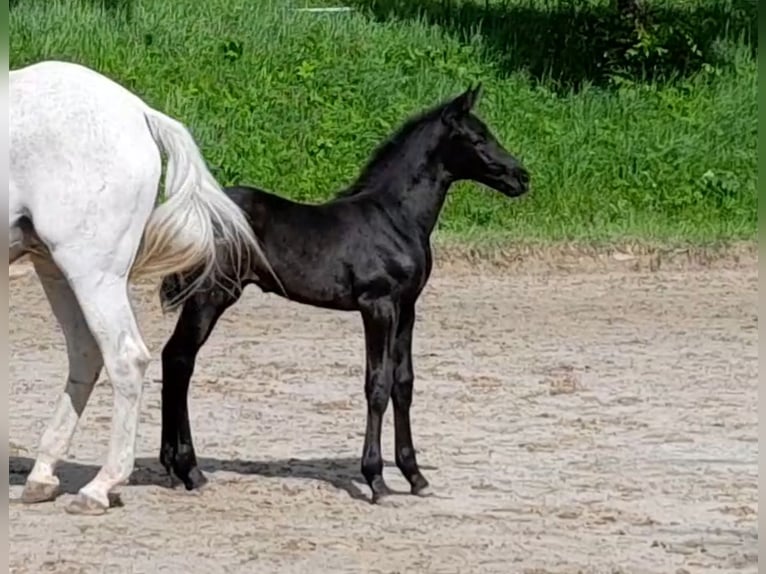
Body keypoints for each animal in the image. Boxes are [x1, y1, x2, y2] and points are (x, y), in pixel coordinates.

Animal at [9, 62, 280, 516]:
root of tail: (138, 112)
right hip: (54, 266)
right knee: (86, 353)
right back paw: (42, 476)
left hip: (90, 269)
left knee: (125, 357)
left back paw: (99, 488)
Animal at [159, 84, 532, 504]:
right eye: (477, 137)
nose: (522, 177)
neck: (395, 218)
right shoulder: (378, 306)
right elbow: (377, 385)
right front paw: (376, 479)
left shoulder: (407, 308)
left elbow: (404, 383)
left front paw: (415, 475)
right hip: (212, 294)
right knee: (180, 360)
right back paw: (190, 469)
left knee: (173, 358)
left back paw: (173, 467)